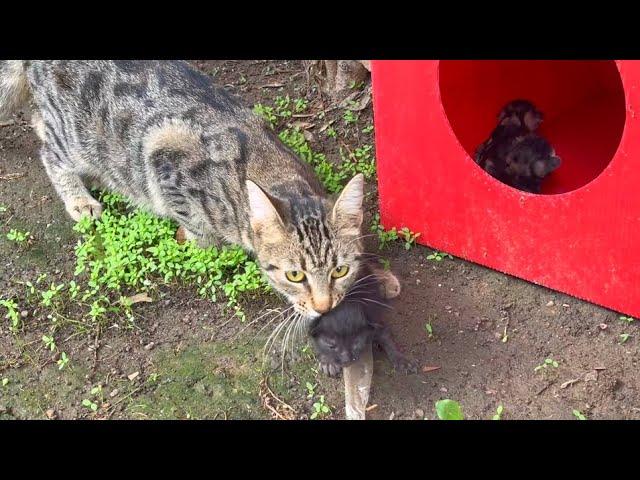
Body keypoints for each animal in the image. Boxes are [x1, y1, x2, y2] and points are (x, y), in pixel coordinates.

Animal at [0, 62, 400, 320]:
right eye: (294, 276)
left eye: (339, 271)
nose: (323, 307)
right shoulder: (164, 159)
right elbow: (195, 225)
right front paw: (203, 247)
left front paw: (378, 276)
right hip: (75, 137)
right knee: (50, 152)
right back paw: (80, 198)